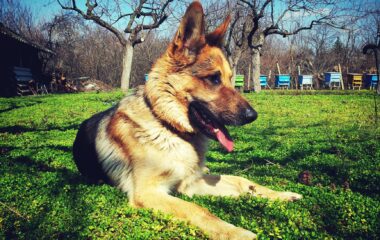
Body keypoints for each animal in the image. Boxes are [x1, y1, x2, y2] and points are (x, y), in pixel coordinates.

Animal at [72, 1, 302, 238]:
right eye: (214, 78)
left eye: (231, 79)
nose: (253, 116)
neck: (168, 127)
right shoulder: (148, 192)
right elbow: (198, 209)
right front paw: (236, 232)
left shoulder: (190, 183)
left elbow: (242, 181)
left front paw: (280, 194)